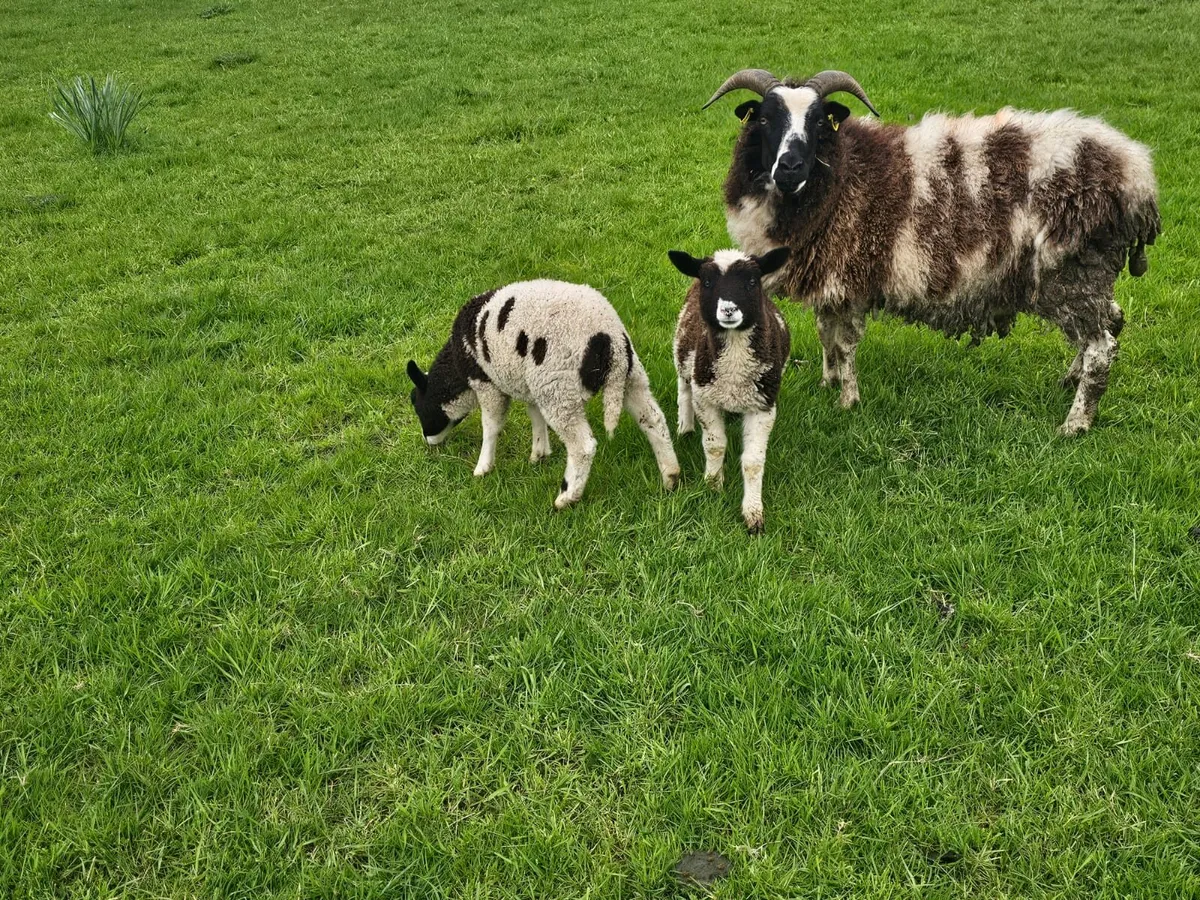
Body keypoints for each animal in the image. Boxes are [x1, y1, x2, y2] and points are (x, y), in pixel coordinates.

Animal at [406, 279, 680, 508]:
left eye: (418, 407)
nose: (428, 441)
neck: (457, 364)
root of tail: (609, 339)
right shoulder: (531, 387)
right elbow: (535, 415)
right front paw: (539, 453)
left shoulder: (487, 384)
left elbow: (491, 426)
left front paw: (483, 467)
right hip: (629, 376)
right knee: (653, 419)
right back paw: (670, 476)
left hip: (558, 388)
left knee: (583, 446)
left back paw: (567, 497)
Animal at [668, 246, 791, 534]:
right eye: (708, 282)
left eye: (752, 282)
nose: (728, 310)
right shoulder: (705, 398)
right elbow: (715, 446)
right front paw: (713, 486)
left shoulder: (763, 405)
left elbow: (753, 462)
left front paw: (754, 514)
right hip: (684, 357)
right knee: (684, 389)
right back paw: (685, 426)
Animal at [704, 68, 1161, 435]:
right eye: (765, 118)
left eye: (819, 122)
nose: (790, 167)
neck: (844, 172)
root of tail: (1135, 173)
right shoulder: (831, 276)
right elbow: (825, 335)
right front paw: (827, 383)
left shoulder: (853, 275)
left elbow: (846, 344)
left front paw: (847, 401)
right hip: (1091, 273)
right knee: (1111, 321)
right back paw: (1070, 381)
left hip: (1071, 269)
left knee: (1101, 347)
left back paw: (1076, 422)